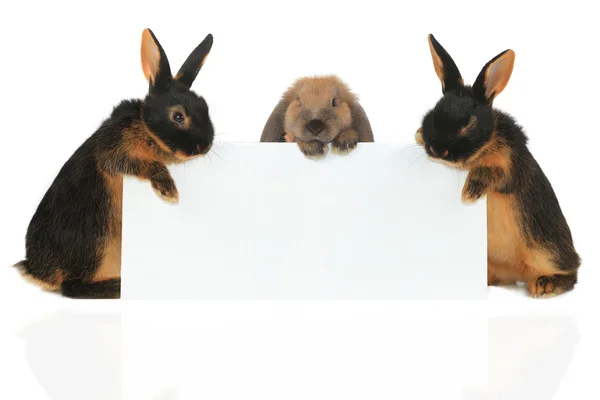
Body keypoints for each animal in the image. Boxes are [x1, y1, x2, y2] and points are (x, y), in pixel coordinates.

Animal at [12, 28, 216, 296]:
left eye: (206, 107)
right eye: (178, 116)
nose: (205, 146)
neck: (147, 129)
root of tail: (37, 270)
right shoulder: (116, 153)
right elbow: (147, 165)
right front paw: (169, 191)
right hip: (95, 239)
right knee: (71, 287)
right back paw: (116, 288)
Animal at [414, 33, 580, 296]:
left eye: (468, 123)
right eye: (433, 114)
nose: (437, 150)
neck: (486, 143)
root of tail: (518, 273)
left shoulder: (509, 167)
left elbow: (490, 171)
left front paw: (470, 192)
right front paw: (419, 135)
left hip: (545, 247)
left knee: (571, 272)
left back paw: (544, 285)